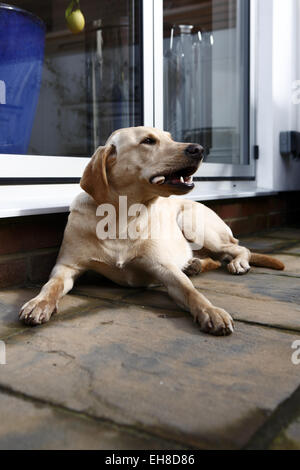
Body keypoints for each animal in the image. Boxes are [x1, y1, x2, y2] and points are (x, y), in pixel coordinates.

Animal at [19, 126, 284, 336]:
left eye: (170, 137)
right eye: (148, 141)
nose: (198, 148)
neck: (122, 216)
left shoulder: (165, 269)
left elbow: (191, 291)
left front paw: (211, 311)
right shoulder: (66, 267)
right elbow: (51, 286)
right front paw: (39, 303)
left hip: (191, 221)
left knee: (238, 248)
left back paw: (235, 263)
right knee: (215, 258)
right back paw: (194, 264)